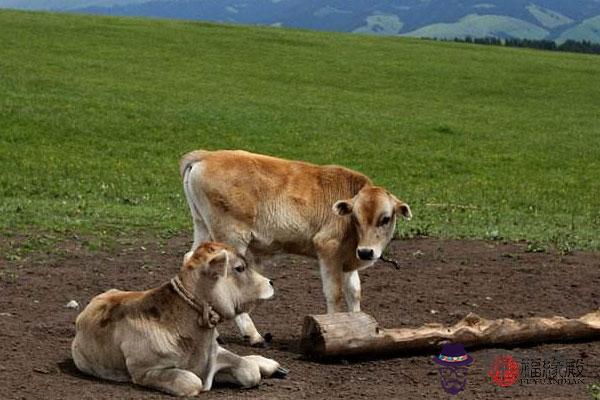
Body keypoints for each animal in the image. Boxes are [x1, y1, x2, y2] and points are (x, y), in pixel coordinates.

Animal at [71, 241, 288, 396]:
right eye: (240, 268)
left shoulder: (214, 353)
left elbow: (249, 370)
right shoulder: (145, 371)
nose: (271, 282)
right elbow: (191, 382)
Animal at [179, 150, 412, 346]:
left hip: (202, 227)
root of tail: (206, 155)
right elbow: (334, 293)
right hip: (231, 236)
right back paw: (253, 335)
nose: (366, 252)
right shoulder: (328, 249)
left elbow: (354, 292)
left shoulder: (348, 260)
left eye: (385, 218)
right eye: (355, 218)